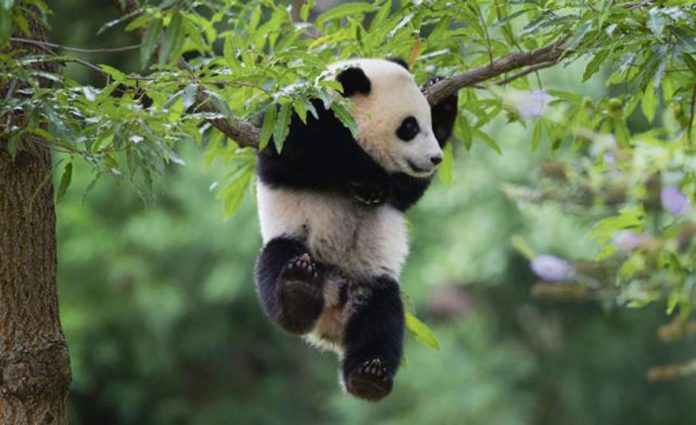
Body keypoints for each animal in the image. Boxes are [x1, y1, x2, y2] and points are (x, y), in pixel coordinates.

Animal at [254, 58, 458, 401]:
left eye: (428, 123)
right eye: (409, 127)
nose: (435, 158)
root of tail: (330, 316)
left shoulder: (403, 187)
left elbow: (406, 190)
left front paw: (442, 95)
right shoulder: (295, 113)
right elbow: (301, 142)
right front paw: (371, 181)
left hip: (371, 283)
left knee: (383, 321)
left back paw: (369, 377)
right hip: (293, 241)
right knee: (276, 261)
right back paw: (297, 292)